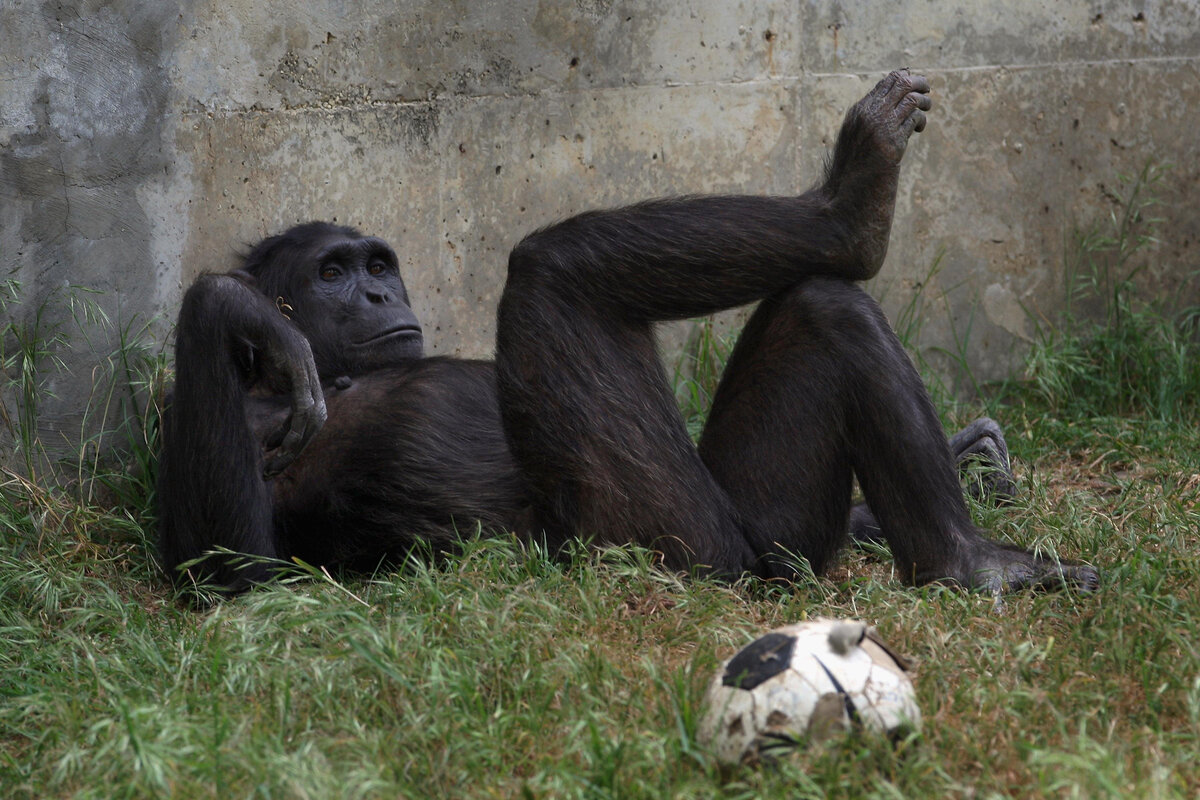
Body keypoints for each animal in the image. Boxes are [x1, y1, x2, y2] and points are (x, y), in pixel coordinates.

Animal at [157, 68, 1099, 597]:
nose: (382, 292)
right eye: (331, 275)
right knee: (553, 266)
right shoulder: (268, 420)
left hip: (768, 532)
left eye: (376, 263)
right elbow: (236, 572)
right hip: (673, 542)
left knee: (820, 313)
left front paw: (974, 459)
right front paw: (230, 306)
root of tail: (763, 569)